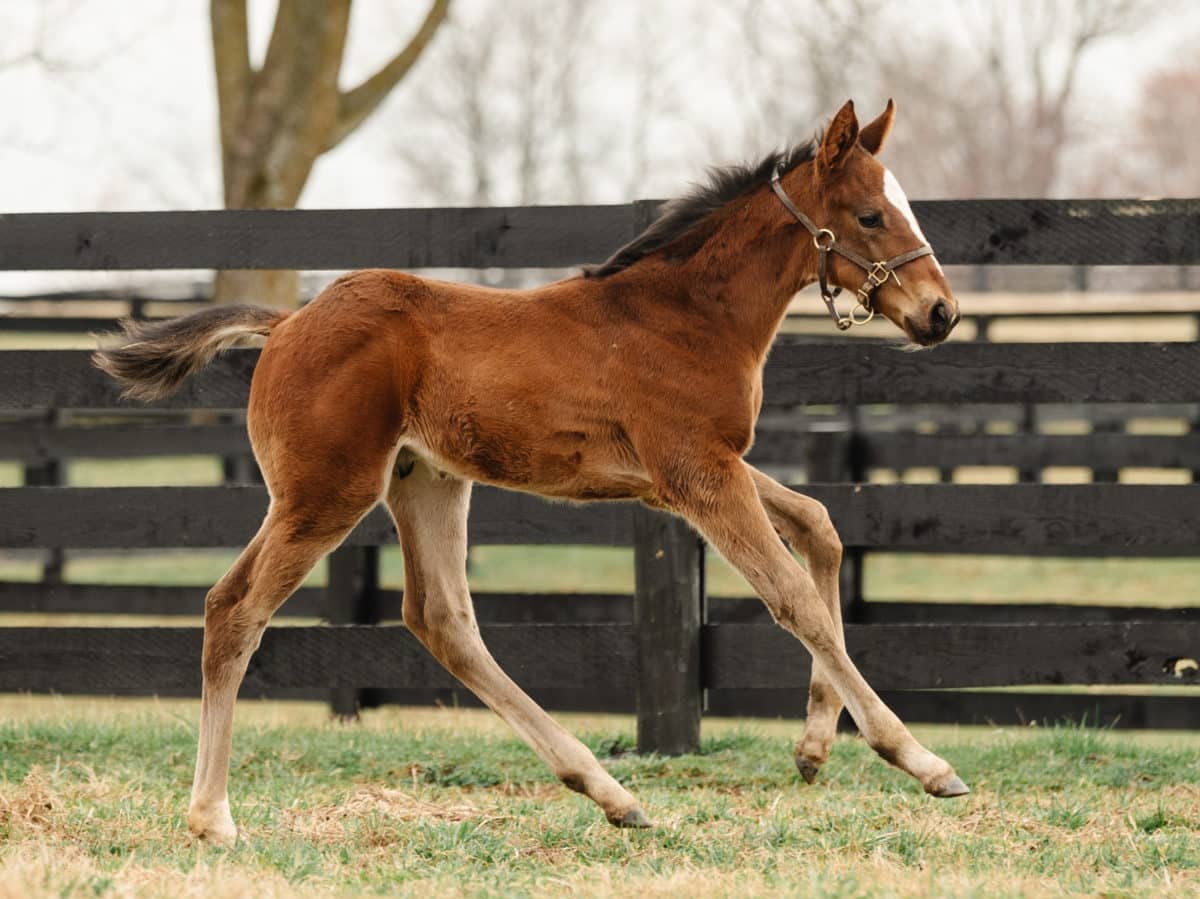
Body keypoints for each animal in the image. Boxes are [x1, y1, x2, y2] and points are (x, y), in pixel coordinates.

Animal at [98, 101, 969, 844]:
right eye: (870, 215)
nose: (941, 313)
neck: (686, 315)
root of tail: (285, 325)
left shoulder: (695, 469)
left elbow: (820, 527)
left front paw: (814, 748)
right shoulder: (698, 471)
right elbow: (792, 599)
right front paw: (922, 760)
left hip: (424, 480)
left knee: (441, 619)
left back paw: (610, 792)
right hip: (326, 492)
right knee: (234, 608)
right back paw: (212, 816)